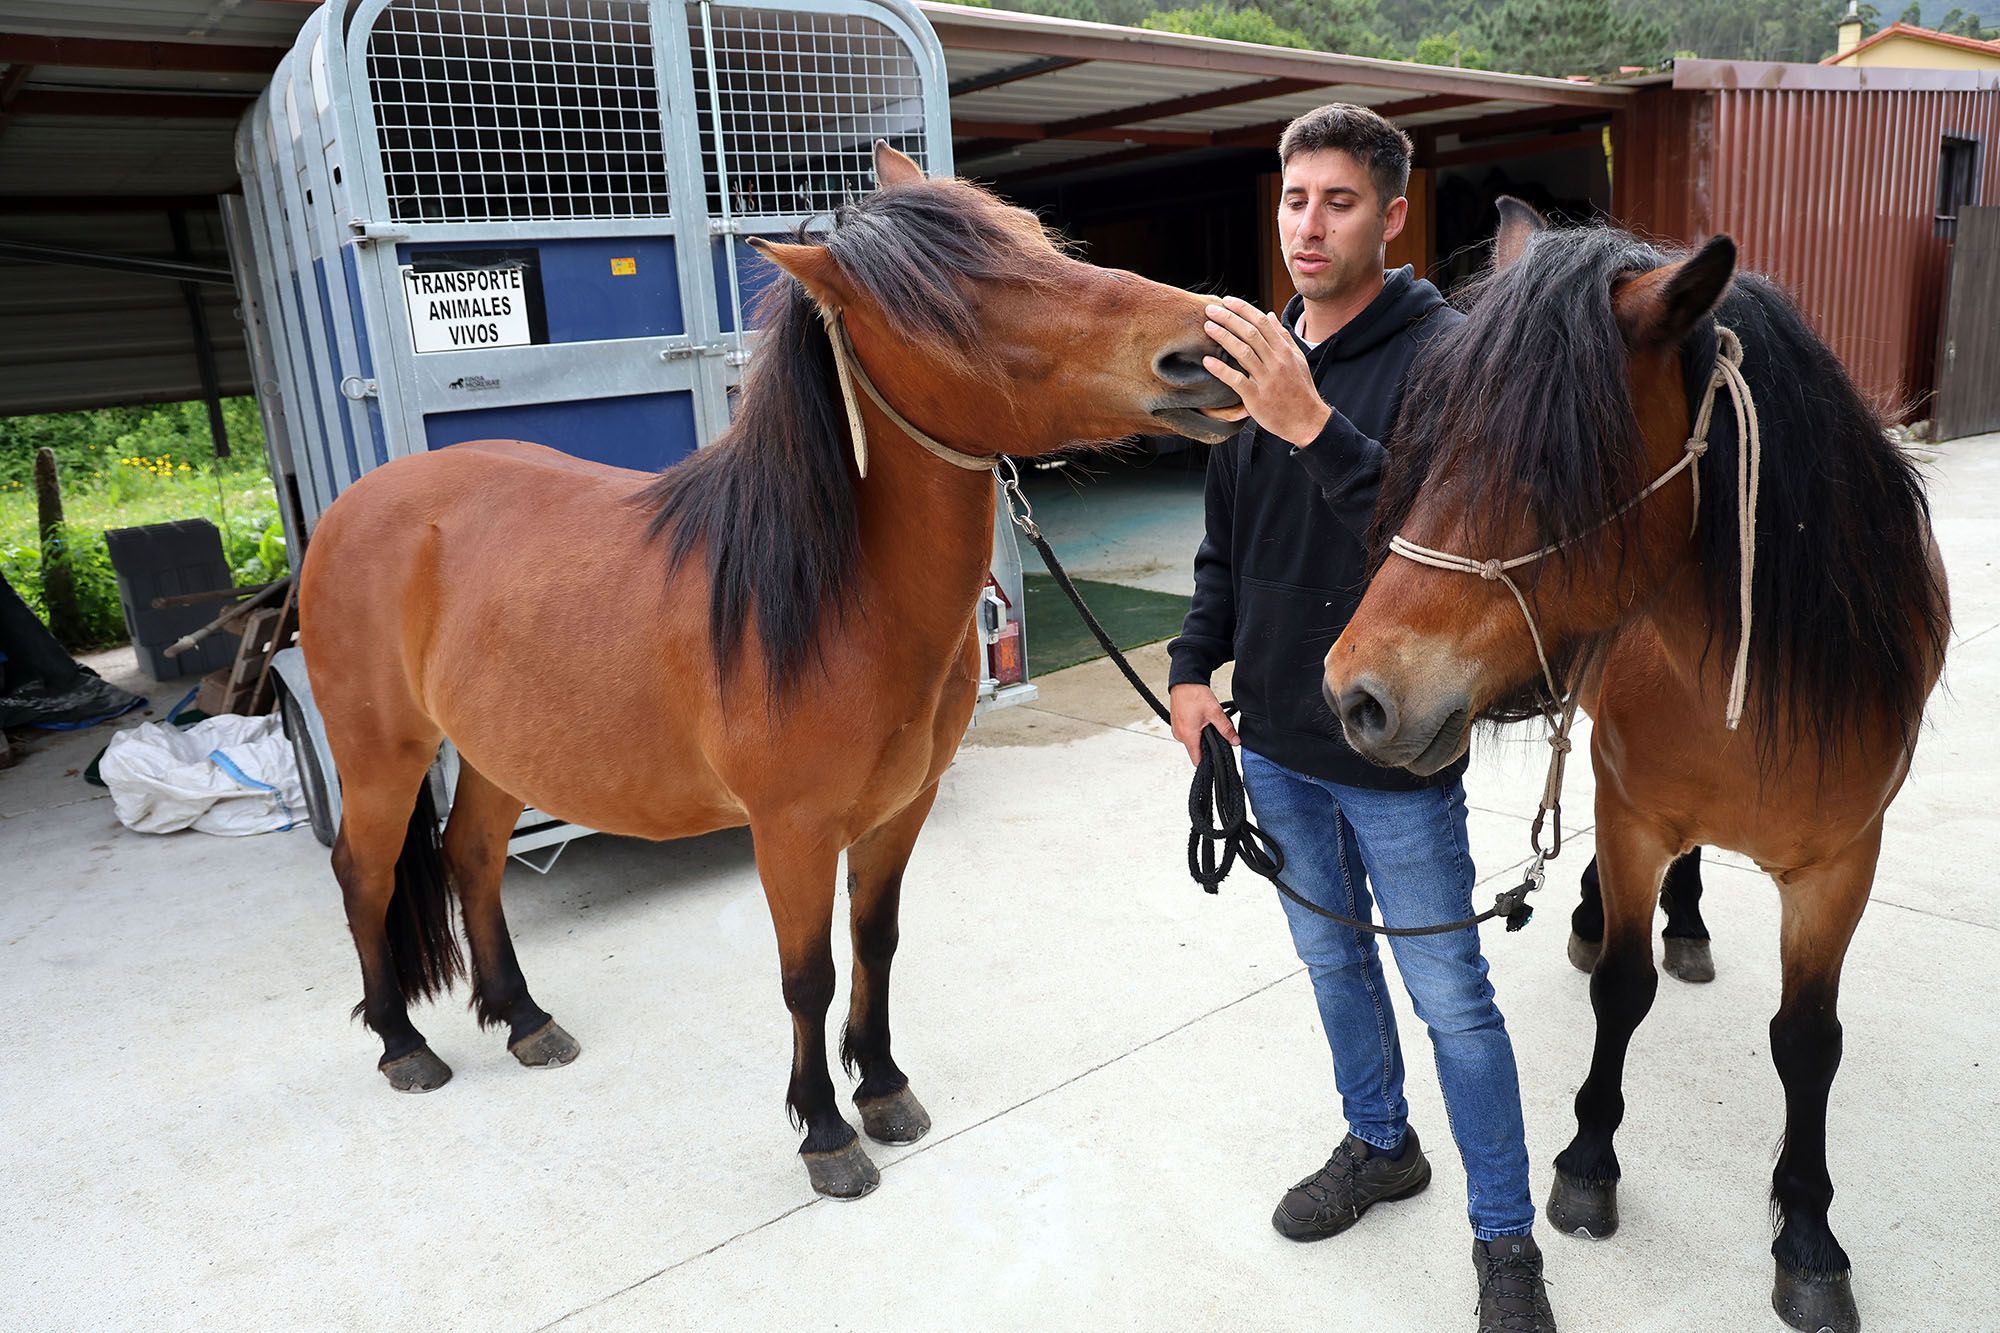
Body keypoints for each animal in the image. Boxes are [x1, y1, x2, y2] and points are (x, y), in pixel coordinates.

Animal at [298, 145, 1240, 1192]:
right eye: (959, 302)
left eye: (1037, 240)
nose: (1203, 349)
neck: (829, 597)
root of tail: (358, 502)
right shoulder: (790, 831)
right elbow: (808, 975)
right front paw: (826, 1131)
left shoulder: (898, 812)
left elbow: (876, 941)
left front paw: (882, 1085)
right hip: (382, 753)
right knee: (364, 871)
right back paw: (402, 1043)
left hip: (501, 752)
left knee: (471, 857)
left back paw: (526, 1019)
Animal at [1320, 200, 1944, 1328]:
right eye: (1435, 444)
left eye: (1558, 466)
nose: (1358, 693)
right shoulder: (1628, 816)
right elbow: (1620, 985)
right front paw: (1586, 1161)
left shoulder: (1842, 864)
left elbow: (1807, 1042)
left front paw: (1807, 1234)